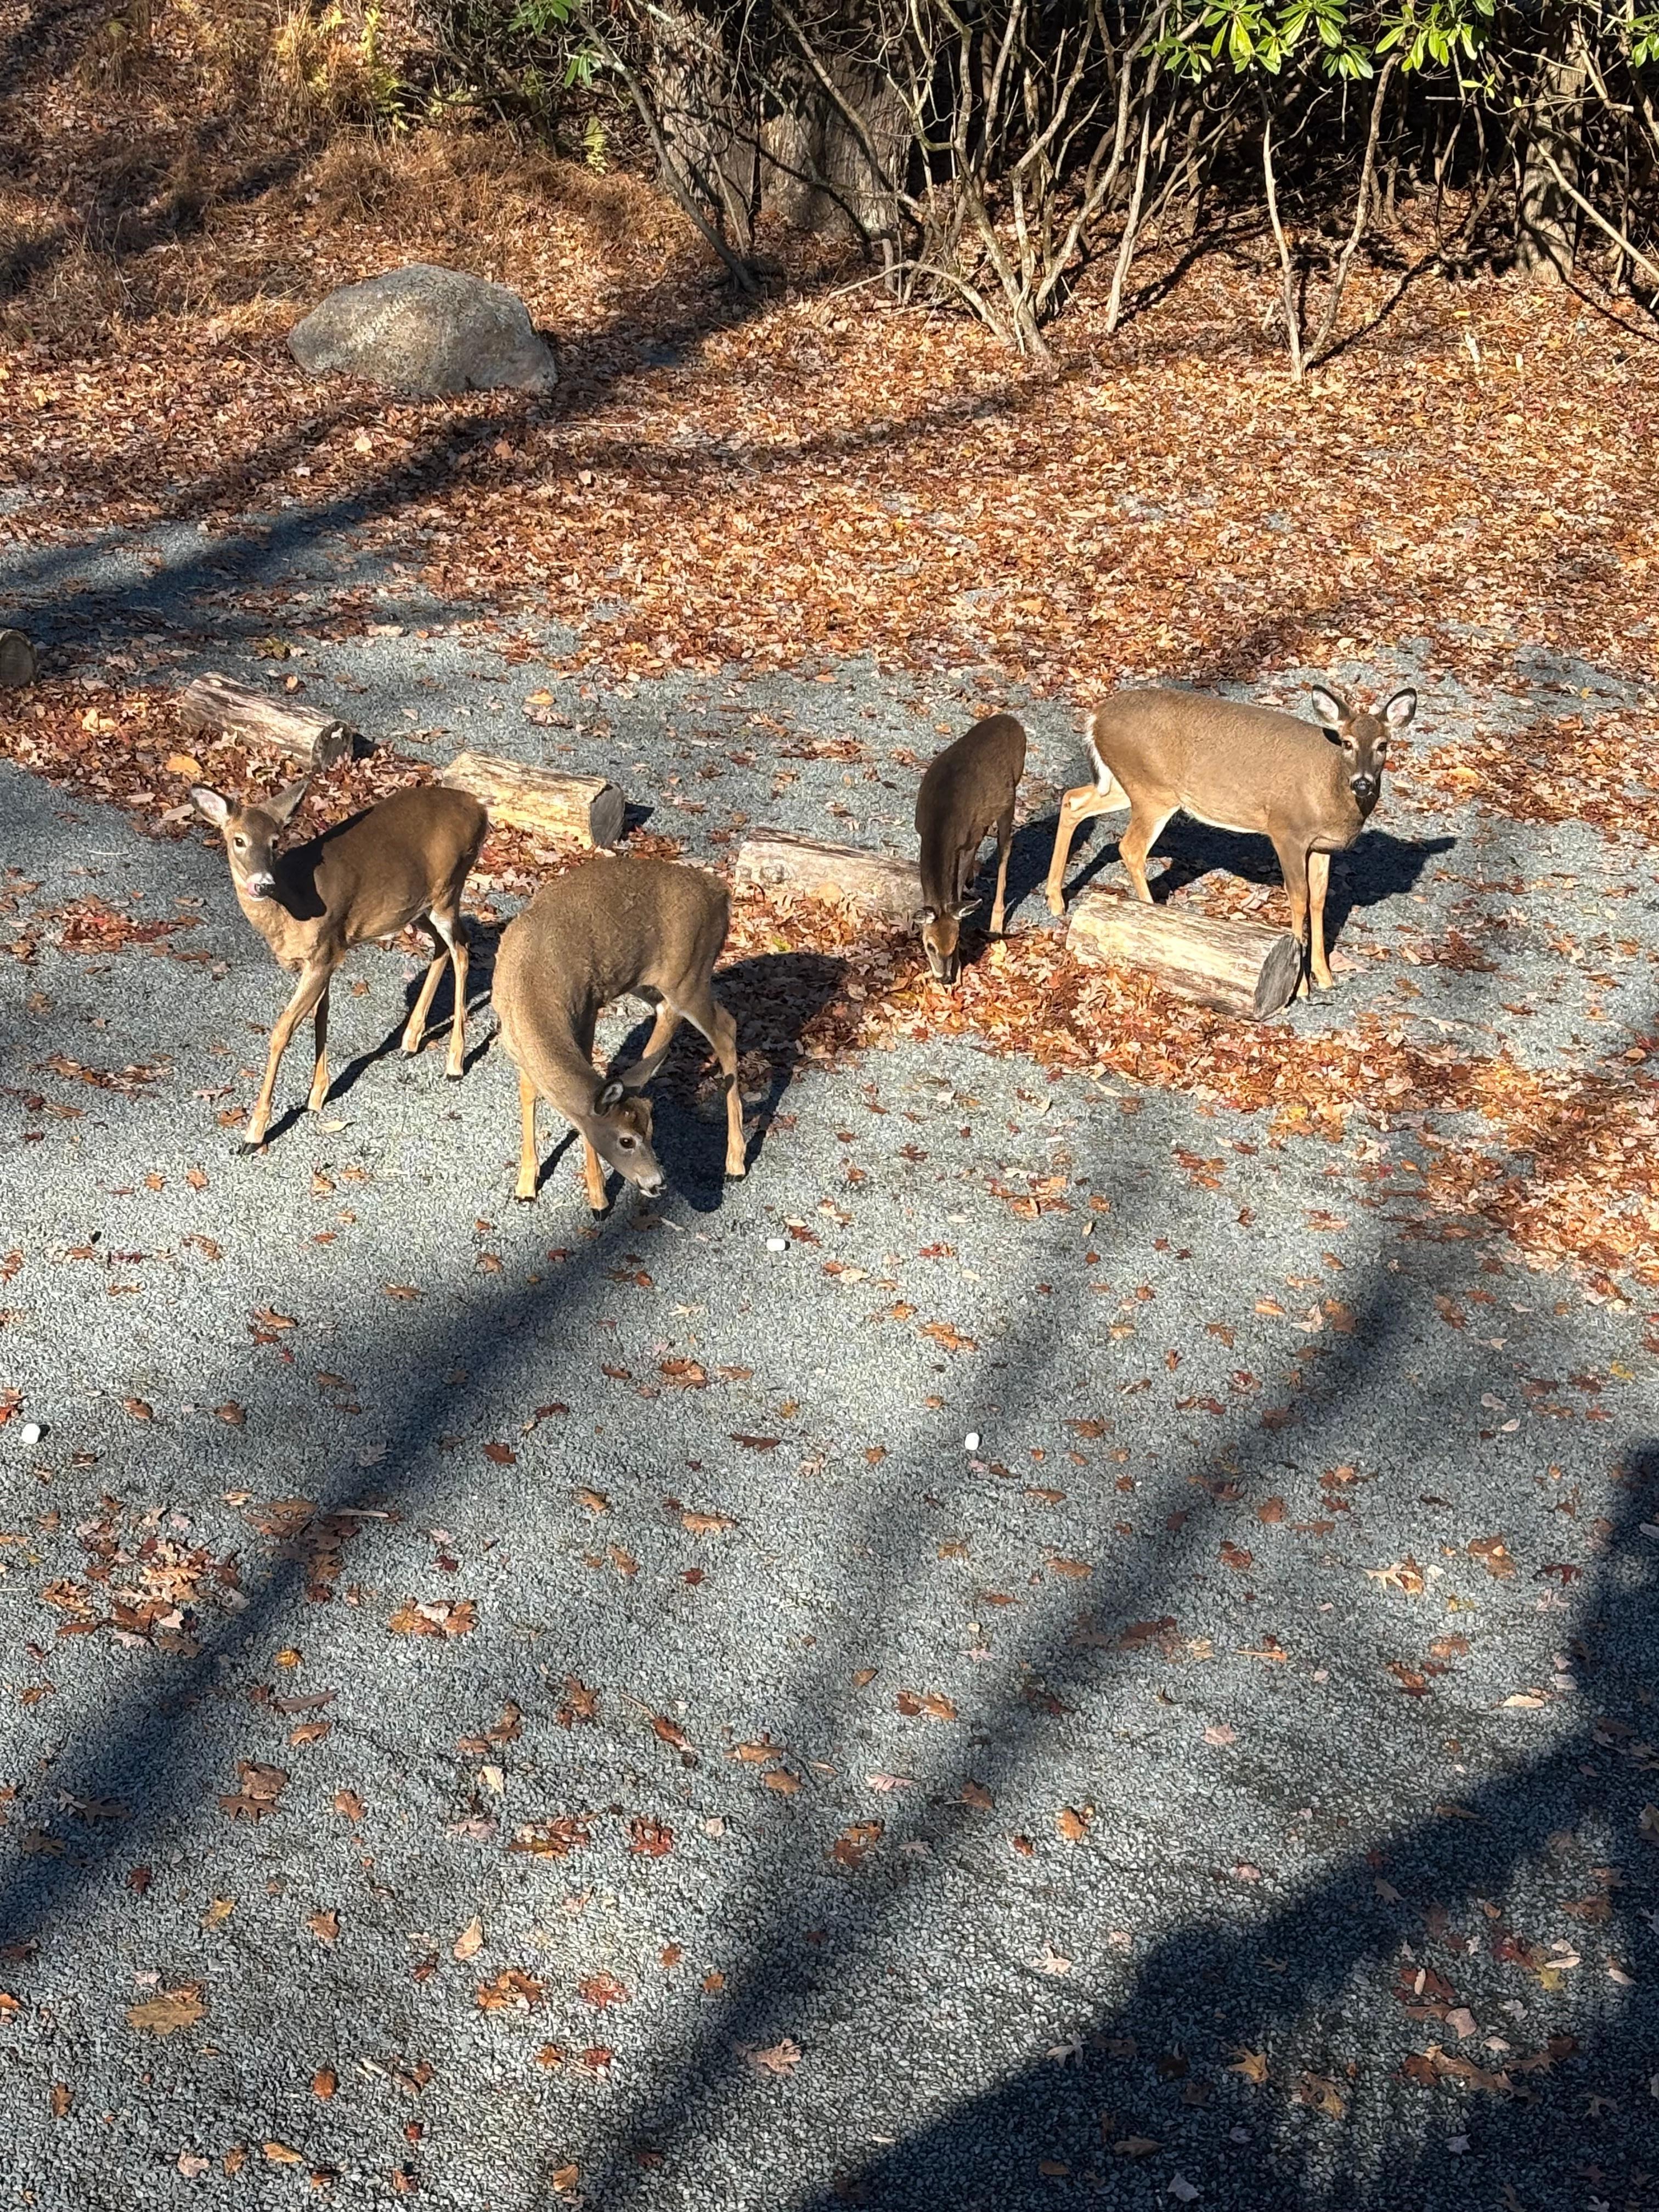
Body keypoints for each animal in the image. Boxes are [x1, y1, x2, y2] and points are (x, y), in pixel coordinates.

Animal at [190, 778, 487, 1149]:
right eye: (239, 840)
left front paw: (255, 1132)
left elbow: (282, 1030)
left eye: (275, 841)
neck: (291, 907)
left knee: (462, 948)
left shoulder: (324, 953)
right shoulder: (326, 955)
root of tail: (481, 809)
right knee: (443, 947)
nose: (262, 884)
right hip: (416, 907)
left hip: (448, 889)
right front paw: (317, 1095)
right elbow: (322, 1014)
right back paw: (410, 1041)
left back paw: (454, 1064)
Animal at [493, 854, 747, 1210]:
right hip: (650, 981)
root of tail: (722, 893)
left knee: (724, 1029)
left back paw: (735, 1162)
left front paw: (599, 1198)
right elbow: (530, 1092)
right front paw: (526, 1185)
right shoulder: (514, 1043)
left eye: (651, 1132)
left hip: (688, 975)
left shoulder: (585, 1016)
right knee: (686, 1016)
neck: (530, 993)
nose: (658, 1183)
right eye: (627, 1140)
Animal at [915, 712, 1028, 986]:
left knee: (1005, 848)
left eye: (955, 943)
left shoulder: (963, 842)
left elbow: (953, 893)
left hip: (1010, 797)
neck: (940, 820)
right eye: (929, 945)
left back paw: (996, 922)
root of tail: (1013, 721)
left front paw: (958, 971)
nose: (944, 978)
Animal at [1044, 681, 1417, 989]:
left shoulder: (1323, 847)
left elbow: (1319, 899)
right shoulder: (1286, 831)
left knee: (1073, 801)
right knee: (1130, 847)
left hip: (1127, 785)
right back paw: (1156, 918)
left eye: (1383, 745)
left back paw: (1057, 900)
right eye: (1347, 743)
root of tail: (1096, 717)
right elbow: (1298, 897)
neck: (1331, 790)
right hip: (1152, 790)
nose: (1363, 783)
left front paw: (1324, 976)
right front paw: (1302, 987)